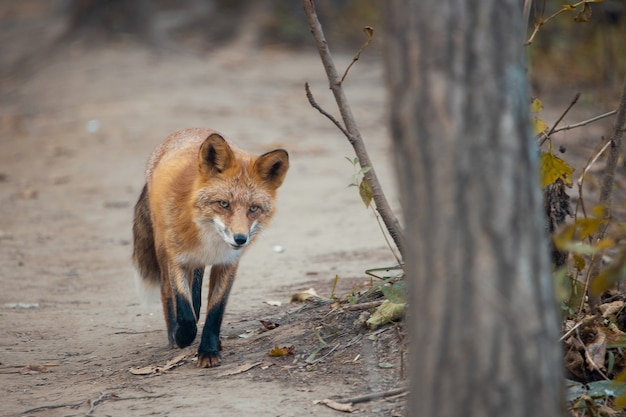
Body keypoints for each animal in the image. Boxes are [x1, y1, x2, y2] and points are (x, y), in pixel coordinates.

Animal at [133, 127, 288, 368]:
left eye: (253, 208)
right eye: (224, 204)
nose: (240, 239)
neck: (210, 239)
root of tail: (189, 130)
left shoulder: (228, 263)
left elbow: (215, 311)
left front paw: (208, 350)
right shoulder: (177, 258)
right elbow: (183, 307)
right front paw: (183, 336)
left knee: (196, 290)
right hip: (162, 247)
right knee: (167, 292)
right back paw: (173, 335)